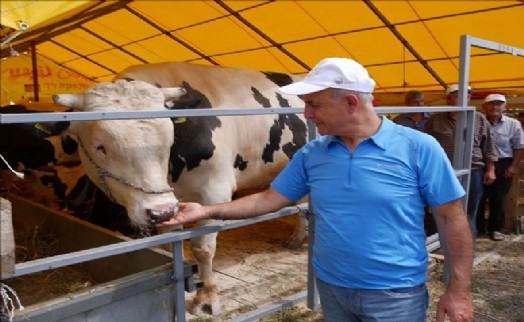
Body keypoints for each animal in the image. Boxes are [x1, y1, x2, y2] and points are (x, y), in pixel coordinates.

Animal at [52, 62, 308, 314]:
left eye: (169, 139)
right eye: (100, 147)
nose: (160, 211)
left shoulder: (215, 191)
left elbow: (203, 248)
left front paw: (207, 296)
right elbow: (171, 243)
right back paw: (297, 239)